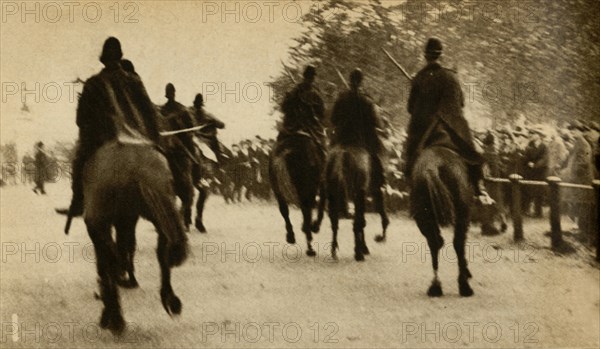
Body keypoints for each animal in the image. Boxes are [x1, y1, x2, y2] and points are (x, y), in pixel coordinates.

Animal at [83, 140, 188, 334]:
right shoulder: (127, 219)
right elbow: (126, 246)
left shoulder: (108, 222)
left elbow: (109, 259)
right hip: (158, 207)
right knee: (163, 250)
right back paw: (169, 300)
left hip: (101, 221)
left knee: (109, 259)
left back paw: (116, 318)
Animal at [412, 145, 474, 294]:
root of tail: (431, 167)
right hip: (462, 213)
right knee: (458, 243)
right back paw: (464, 285)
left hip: (423, 217)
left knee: (435, 243)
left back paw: (435, 286)